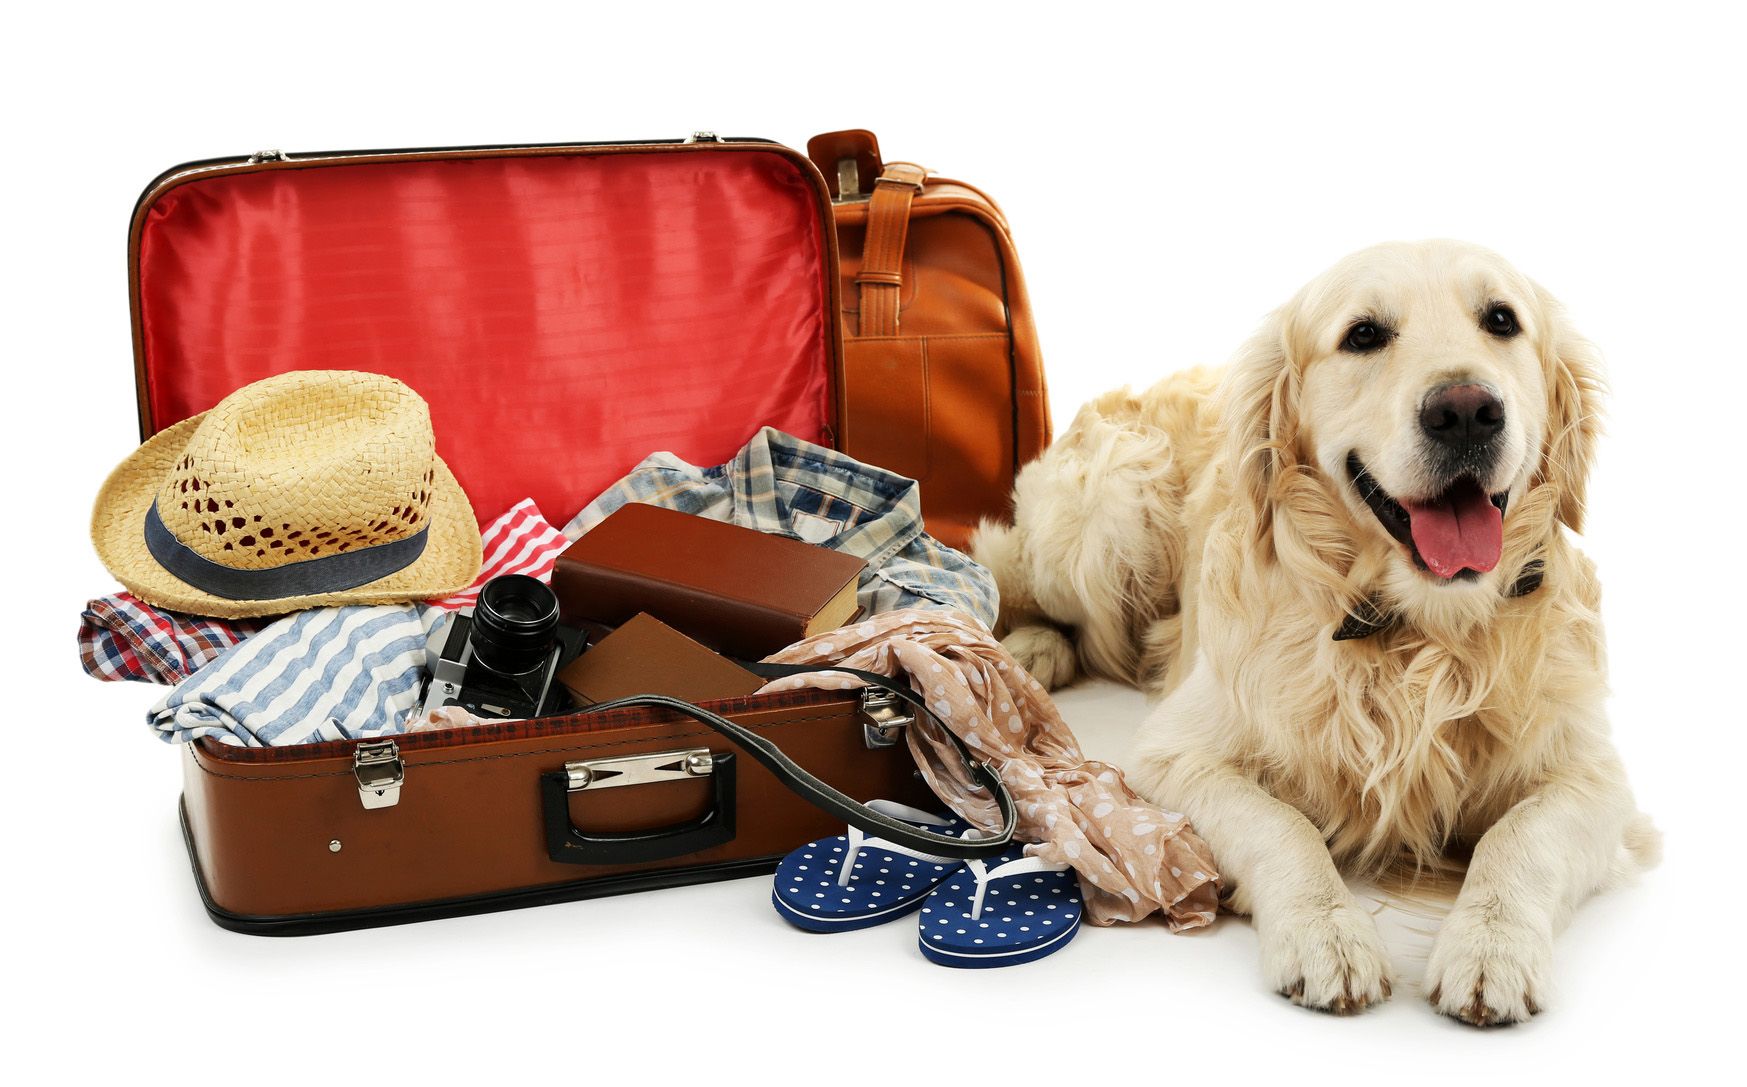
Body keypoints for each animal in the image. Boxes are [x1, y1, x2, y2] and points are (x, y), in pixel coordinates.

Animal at [978, 242, 1656, 1027]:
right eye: (1363, 334)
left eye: (1501, 320)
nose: (1465, 412)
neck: (1418, 635)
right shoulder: (1171, 757)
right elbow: (1281, 825)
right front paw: (1325, 932)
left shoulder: (1595, 776)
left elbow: (1522, 837)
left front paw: (1490, 946)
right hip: (1110, 500)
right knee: (1030, 589)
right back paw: (1033, 648)